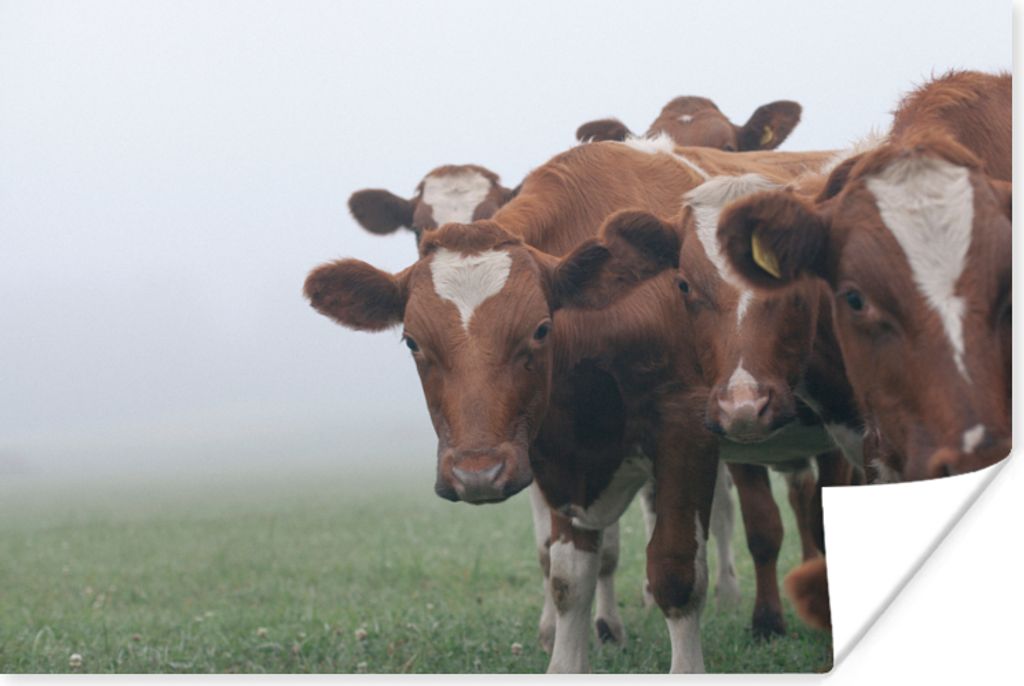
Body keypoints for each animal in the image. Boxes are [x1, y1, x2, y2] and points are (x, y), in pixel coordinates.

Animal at [306, 140, 837, 672]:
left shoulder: (687, 431)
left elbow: (675, 571)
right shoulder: (555, 453)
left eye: (541, 329)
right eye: (413, 341)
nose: (477, 474)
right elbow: (567, 575)